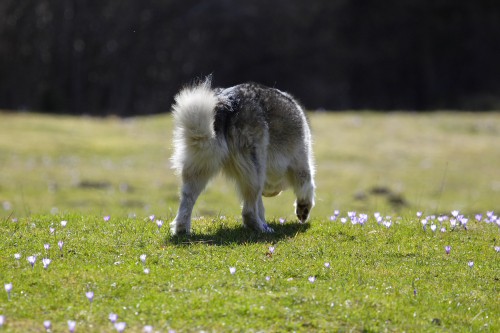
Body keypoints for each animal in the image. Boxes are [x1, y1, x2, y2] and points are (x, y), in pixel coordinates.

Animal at [170, 77, 314, 233]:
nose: (267, 193)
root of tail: (227, 103)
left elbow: (260, 206)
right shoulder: (301, 159)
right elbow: (307, 185)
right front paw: (303, 209)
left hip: (199, 166)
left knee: (187, 200)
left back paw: (182, 230)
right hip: (254, 167)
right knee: (248, 212)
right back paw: (262, 229)